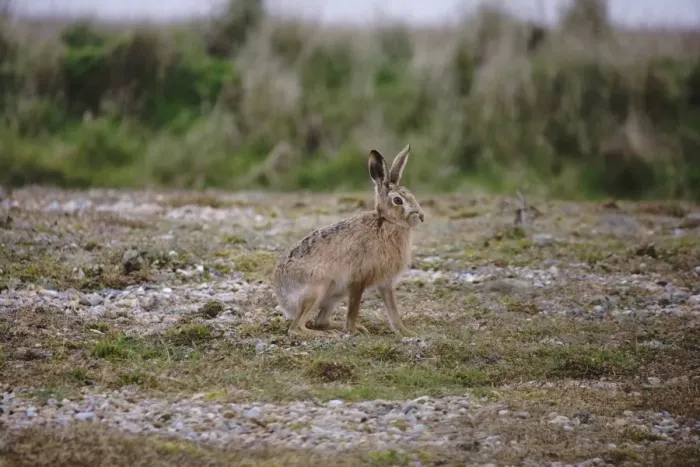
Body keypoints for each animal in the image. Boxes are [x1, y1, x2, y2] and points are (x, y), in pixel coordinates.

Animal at [273, 144, 425, 337]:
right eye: (398, 200)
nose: (421, 216)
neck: (386, 222)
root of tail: (283, 299)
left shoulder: (385, 283)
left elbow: (393, 309)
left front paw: (405, 331)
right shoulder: (358, 280)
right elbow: (354, 309)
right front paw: (352, 331)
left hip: (334, 296)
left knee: (320, 321)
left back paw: (344, 328)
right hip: (317, 289)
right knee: (296, 327)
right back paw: (325, 334)